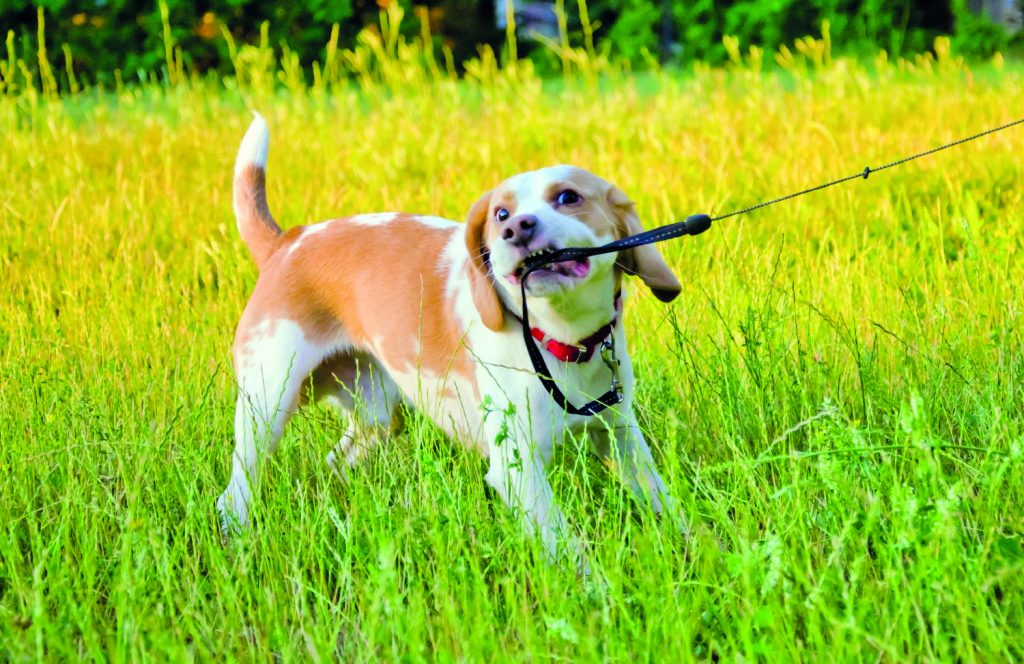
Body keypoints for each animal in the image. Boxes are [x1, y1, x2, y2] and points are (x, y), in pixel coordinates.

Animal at [217, 114, 684, 569]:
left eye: (568, 197)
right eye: (499, 213)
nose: (516, 228)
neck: (562, 340)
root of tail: (287, 241)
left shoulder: (622, 436)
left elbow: (665, 504)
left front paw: (691, 549)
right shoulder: (518, 470)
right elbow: (571, 552)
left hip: (378, 416)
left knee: (336, 462)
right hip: (267, 406)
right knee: (234, 490)